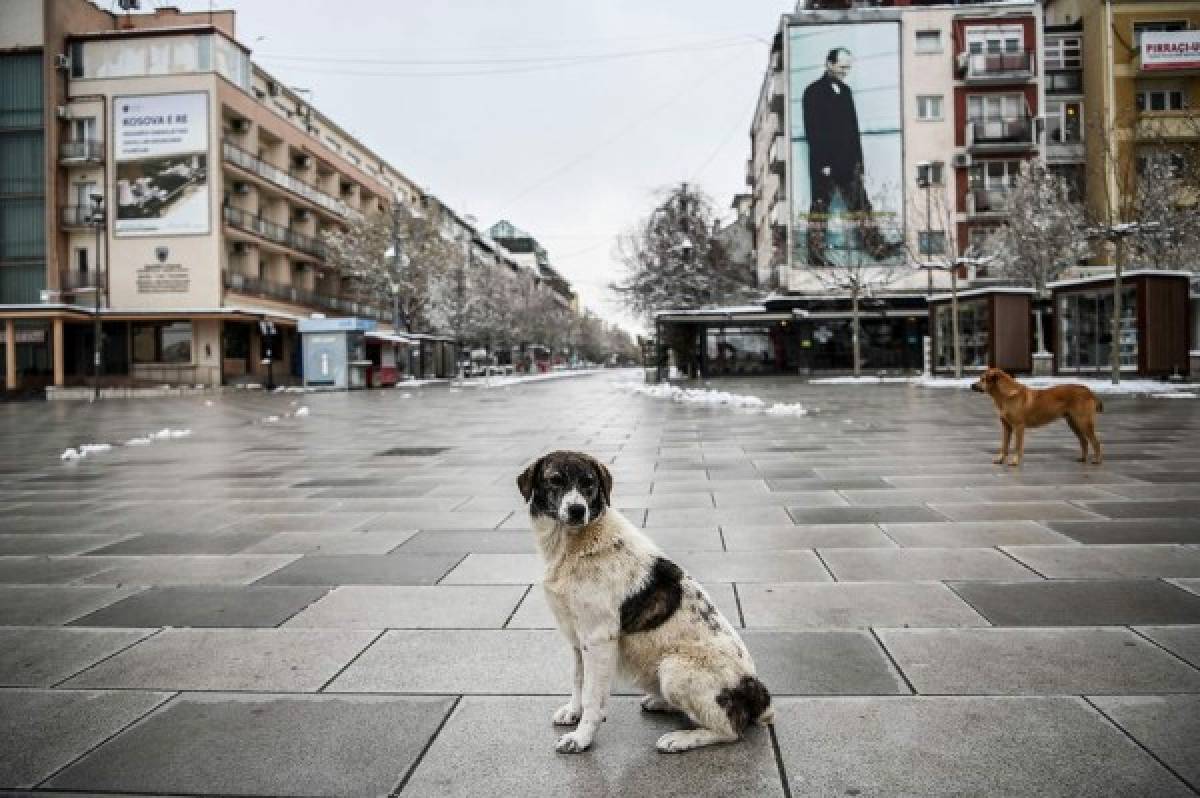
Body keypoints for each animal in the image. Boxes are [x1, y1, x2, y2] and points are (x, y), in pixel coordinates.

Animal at [518, 448, 777, 753]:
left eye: (588, 483)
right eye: (555, 480)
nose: (577, 510)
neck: (574, 545)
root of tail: (758, 694)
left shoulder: (598, 638)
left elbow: (593, 696)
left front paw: (581, 738)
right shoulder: (576, 637)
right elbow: (578, 680)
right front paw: (573, 712)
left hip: (674, 668)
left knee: (730, 730)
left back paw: (681, 738)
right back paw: (660, 703)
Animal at [969, 367, 1099, 468]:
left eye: (983, 379)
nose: (971, 385)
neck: (1006, 395)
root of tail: (1089, 391)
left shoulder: (1018, 427)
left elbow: (1017, 446)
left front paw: (1015, 461)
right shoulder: (1006, 427)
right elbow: (1004, 445)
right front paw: (1000, 459)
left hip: (1084, 422)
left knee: (1095, 442)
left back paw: (1097, 460)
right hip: (1073, 422)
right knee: (1084, 441)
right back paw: (1083, 459)